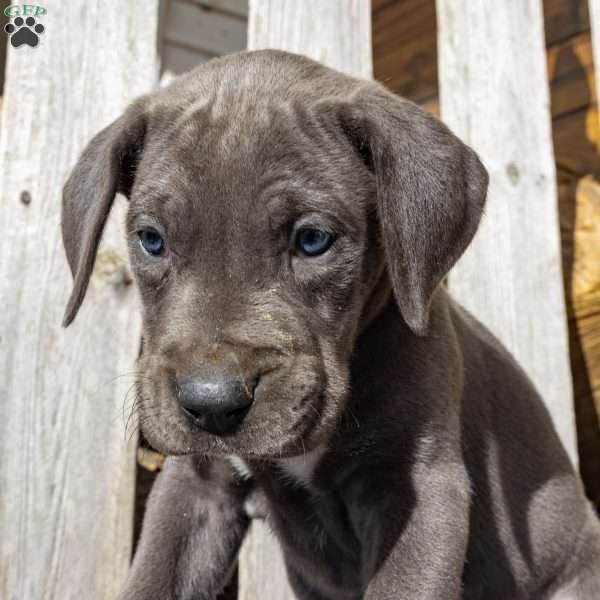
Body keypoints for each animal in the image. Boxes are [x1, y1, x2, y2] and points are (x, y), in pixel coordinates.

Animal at [62, 51, 600, 600]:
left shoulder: (421, 491)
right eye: (151, 240)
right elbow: (154, 578)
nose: (212, 403)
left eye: (313, 239)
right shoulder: (196, 487)